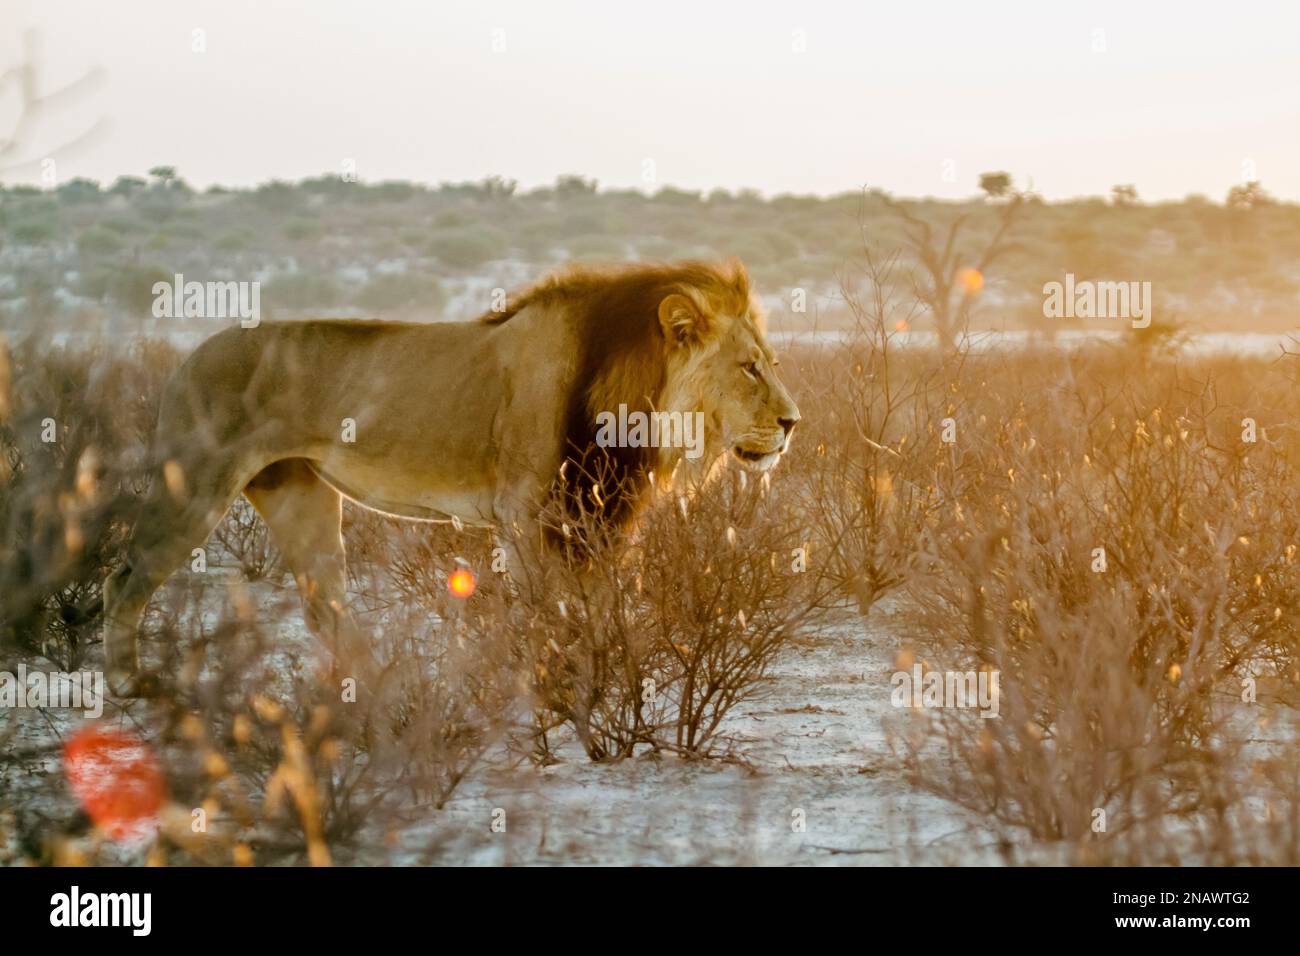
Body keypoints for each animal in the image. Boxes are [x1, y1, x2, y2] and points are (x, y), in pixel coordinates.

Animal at [103, 259, 801, 696]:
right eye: (748, 368)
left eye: (769, 362)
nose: (794, 423)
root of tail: (183, 358)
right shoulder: (527, 515)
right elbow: (553, 616)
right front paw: (560, 693)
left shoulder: (596, 519)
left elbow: (601, 611)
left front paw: (607, 684)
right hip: (195, 486)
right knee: (124, 577)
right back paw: (127, 682)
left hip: (299, 493)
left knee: (324, 603)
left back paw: (376, 692)